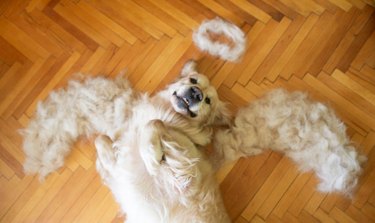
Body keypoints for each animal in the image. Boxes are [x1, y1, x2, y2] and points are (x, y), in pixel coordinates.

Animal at [22, 60, 232, 222]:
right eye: (193, 80)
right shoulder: (121, 171)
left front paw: (151, 156)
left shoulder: (184, 179)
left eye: (208, 101)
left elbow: (152, 124)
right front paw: (107, 156)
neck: (172, 117)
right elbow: (101, 140)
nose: (196, 93)